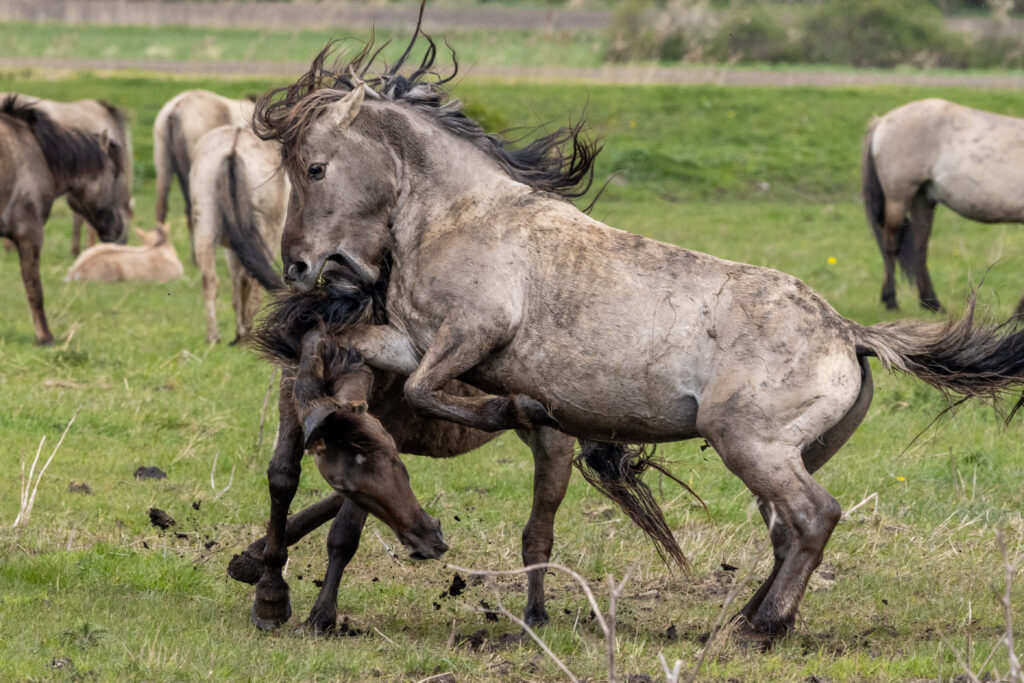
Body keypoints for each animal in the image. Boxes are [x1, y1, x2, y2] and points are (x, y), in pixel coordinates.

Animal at [0, 93, 132, 344]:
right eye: (115, 174)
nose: (119, 230)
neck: (35, 151)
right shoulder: (30, 233)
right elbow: (34, 289)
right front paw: (44, 337)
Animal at [190, 124, 288, 342]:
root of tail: (233, 148)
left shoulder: (233, 248)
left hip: (205, 224)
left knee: (209, 279)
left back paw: (215, 336)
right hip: (266, 233)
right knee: (251, 279)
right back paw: (246, 332)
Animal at [864, 96, 1024, 315]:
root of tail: (882, 121)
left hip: (922, 199)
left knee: (920, 248)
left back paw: (932, 304)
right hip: (899, 198)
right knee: (891, 245)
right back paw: (891, 301)